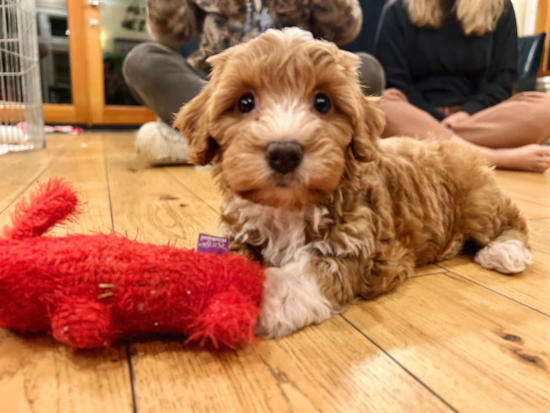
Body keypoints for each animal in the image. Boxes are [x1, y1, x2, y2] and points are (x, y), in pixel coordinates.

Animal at [176, 28, 536, 338]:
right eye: (245, 103)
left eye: (322, 103)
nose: (284, 153)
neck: (288, 207)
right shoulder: (240, 230)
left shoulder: (353, 245)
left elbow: (311, 272)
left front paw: (267, 296)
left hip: (478, 202)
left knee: (511, 220)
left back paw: (505, 251)